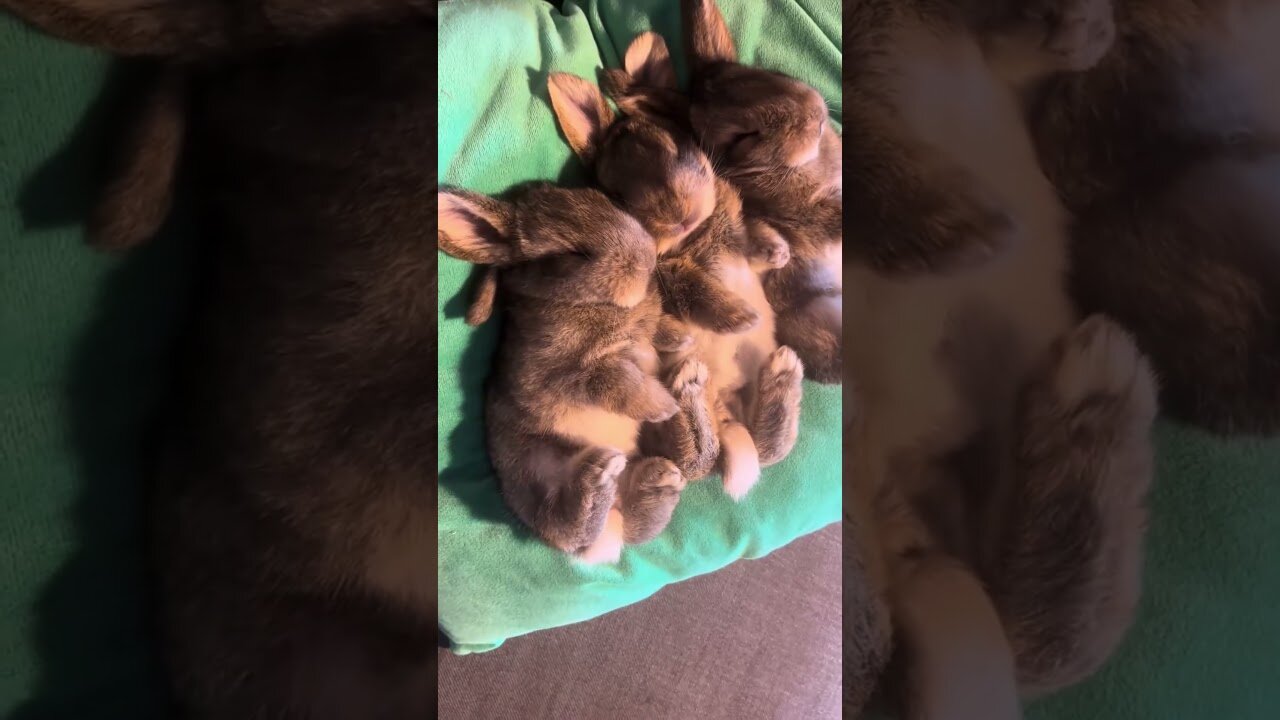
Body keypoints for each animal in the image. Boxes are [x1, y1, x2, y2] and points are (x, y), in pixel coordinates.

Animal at [439, 182, 718, 563]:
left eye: (608, 202)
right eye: (574, 254)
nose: (647, 258)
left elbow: (656, 331)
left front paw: (680, 338)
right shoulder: (555, 377)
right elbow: (610, 381)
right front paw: (659, 404)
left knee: (680, 475)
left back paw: (676, 426)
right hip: (530, 471)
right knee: (568, 531)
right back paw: (602, 477)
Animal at [546, 31, 805, 501]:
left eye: (673, 148)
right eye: (617, 195)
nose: (678, 215)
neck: (694, 235)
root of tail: (725, 405)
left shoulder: (735, 228)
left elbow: (751, 236)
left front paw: (777, 251)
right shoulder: (669, 275)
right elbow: (694, 288)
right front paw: (741, 317)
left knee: (762, 447)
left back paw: (780, 375)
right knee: (702, 461)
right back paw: (696, 388)